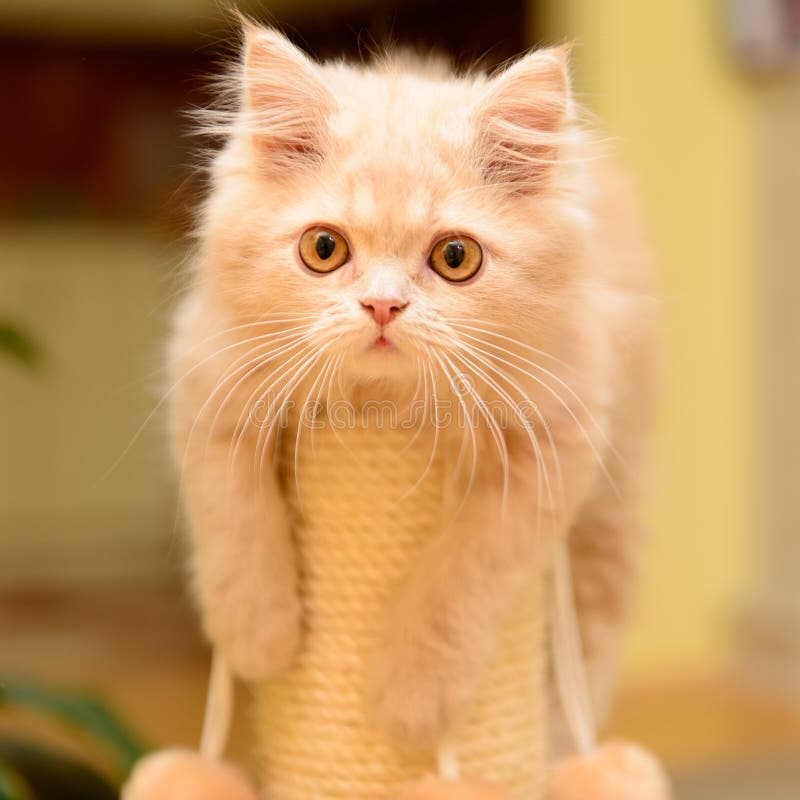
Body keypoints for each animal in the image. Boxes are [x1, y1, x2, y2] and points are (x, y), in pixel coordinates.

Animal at [169, 21, 648, 752]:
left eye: (455, 258)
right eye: (324, 250)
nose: (383, 306)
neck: (381, 408)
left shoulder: (559, 434)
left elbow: (465, 570)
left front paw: (411, 698)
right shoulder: (209, 374)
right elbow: (235, 515)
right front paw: (260, 637)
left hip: (603, 537)